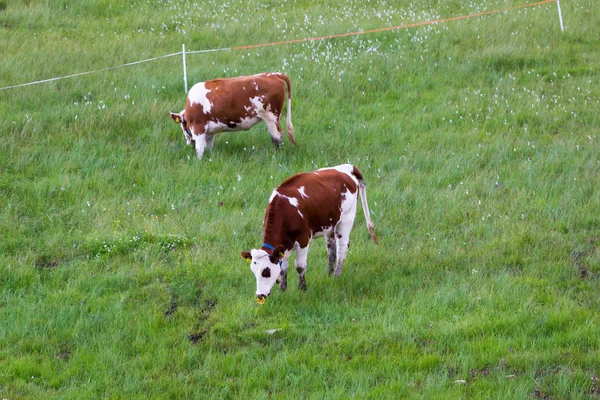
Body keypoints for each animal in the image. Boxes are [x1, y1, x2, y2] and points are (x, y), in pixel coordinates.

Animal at [241, 162, 378, 304]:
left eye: (266, 272)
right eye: (254, 272)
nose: (260, 295)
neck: (285, 211)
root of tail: (346, 167)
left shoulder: (303, 239)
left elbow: (300, 266)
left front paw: (302, 288)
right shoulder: (284, 245)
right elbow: (283, 268)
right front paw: (283, 289)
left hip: (346, 218)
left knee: (342, 247)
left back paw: (336, 275)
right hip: (330, 223)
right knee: (331, 248)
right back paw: (329, 273)